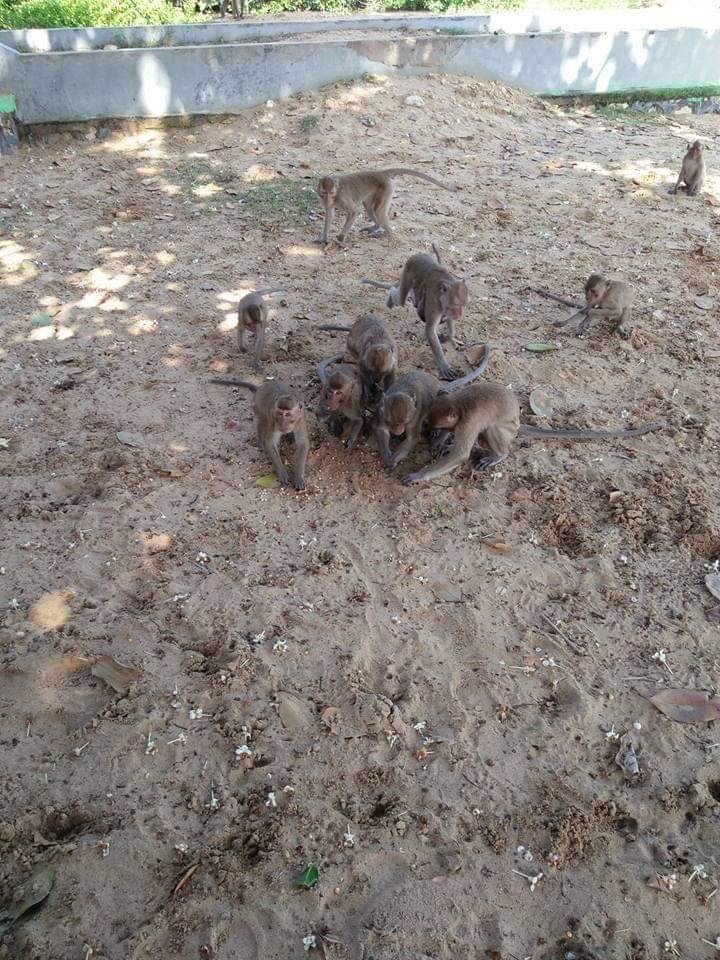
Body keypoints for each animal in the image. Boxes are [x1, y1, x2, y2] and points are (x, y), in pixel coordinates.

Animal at [316, 169, 450, 246]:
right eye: (324, 194)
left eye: (331, 194)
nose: (327, 200)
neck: (337, 194)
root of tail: (381, 173)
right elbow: (329, 213)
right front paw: (324, 238)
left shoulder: (343, 198)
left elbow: (354, 212)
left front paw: (340, 238)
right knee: (369, 208)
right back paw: (376, 226)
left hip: (387, 188)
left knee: (378, 211)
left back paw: (387, 232)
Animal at [402, 382, 660, 488]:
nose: (434, 434)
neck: (459, 403)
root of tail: (518, 425)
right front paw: (440, 444)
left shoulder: (469, 421)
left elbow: (461, 454)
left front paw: (417, 475)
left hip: (504, 431)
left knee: (492, 431)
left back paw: (498, 454)